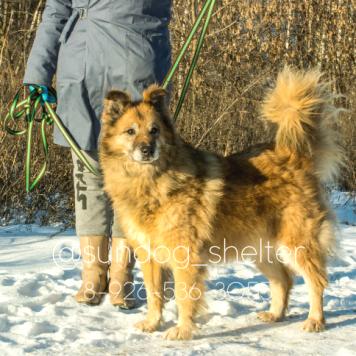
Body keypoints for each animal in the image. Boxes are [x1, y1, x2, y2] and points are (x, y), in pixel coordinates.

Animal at [98, 68, 344, 340]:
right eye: (130, 131)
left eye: (154, 130)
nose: (147, 150)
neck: (152, 181)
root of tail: (294, 156)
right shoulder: (148, 256)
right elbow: (154, 295)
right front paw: (152, 323)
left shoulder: (185, 255)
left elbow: (184, 295)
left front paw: (182, 331)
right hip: (260, 249)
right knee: (283, 280)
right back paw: (275, 315)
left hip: (297, 243)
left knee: (316, 281)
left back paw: (315, 320)